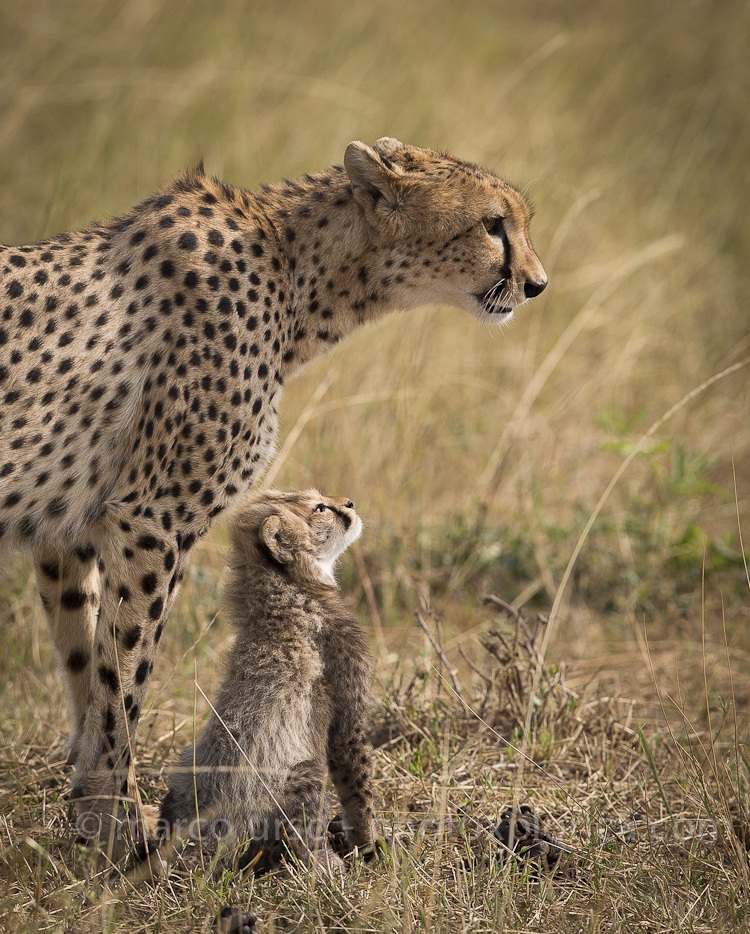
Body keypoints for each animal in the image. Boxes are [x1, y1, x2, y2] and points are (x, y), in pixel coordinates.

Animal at [156, 488, 374, 875]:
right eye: (319, 508)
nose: (349, 504)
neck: (290, 589)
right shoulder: (348, 720)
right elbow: (356, 785)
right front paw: (369, 844)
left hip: (184, 768)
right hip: (302, 774)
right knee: (302, 840)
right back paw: (328, 866)